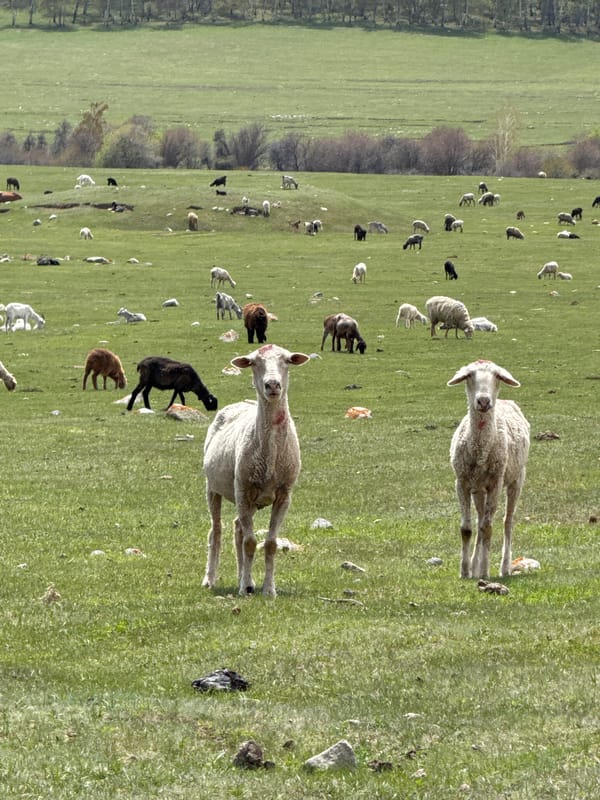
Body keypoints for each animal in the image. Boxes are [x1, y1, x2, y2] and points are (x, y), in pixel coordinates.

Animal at [202, 343, 310, 597]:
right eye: (253, 362)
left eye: (287, 360)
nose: (272, 385)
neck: (270, 456)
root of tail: (241, 403)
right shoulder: (242, 488)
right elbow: (250, 542)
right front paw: (243, 589)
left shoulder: (284, 494)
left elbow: (269, 543)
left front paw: (269, 589)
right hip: (214, 487)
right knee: (217, 530)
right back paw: (211, 579)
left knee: (237, 529)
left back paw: (246, 578)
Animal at [447, 359, 530, 578]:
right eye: (469, 375)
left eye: (497, 376)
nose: (483, 401)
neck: (480, 450)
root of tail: (507, 401)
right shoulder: (461, 482)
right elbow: (467, 528)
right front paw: (465, 571)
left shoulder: (495, 483)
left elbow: (487, 528)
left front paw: (484, 572)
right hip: (478, 489)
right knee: (478, 520)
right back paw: (475, 566)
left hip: (516, 479)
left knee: (507, 521)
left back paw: (504, 567)